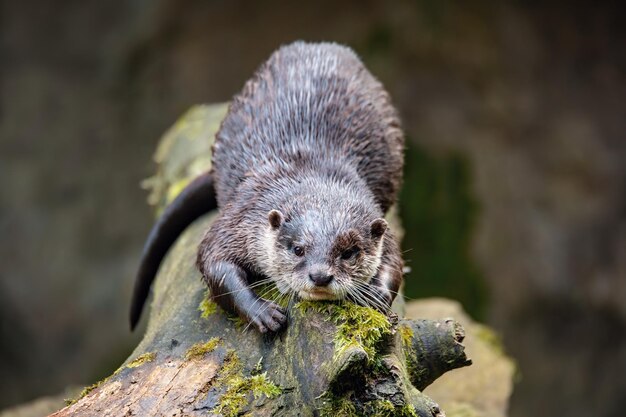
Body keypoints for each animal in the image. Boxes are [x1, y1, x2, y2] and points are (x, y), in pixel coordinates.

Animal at [132, 41, 404, 332]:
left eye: (349, 252)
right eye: (298, 249)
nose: (320, 276)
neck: (309, 169)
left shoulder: (380, 222)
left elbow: (395, 262)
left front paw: (376, 295)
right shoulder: (242, 214)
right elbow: (214, 260)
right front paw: (262, 311)